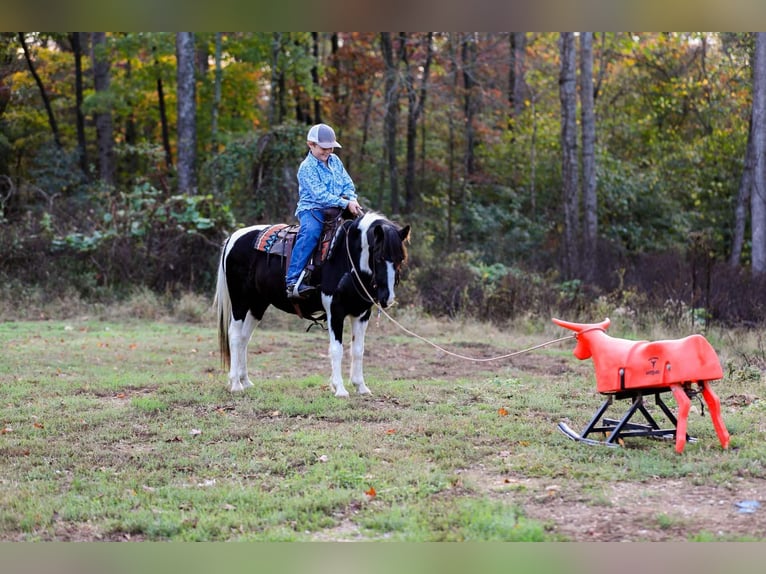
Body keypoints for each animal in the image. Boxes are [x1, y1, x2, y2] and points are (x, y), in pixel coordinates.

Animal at [214, 211, 410, 397]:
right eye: (379, 257)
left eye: (401, 259)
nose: (387, 298)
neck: (346, 258)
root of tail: (234, 237)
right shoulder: (335, 311)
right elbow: (337, 349)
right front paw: (340, 389)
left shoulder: (361, 314)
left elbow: (358, 350)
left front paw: (361, 387)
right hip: (240, 300)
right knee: (235, 335)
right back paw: (236, 384)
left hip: (258, 304)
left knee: (244, 338)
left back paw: (245, 381)